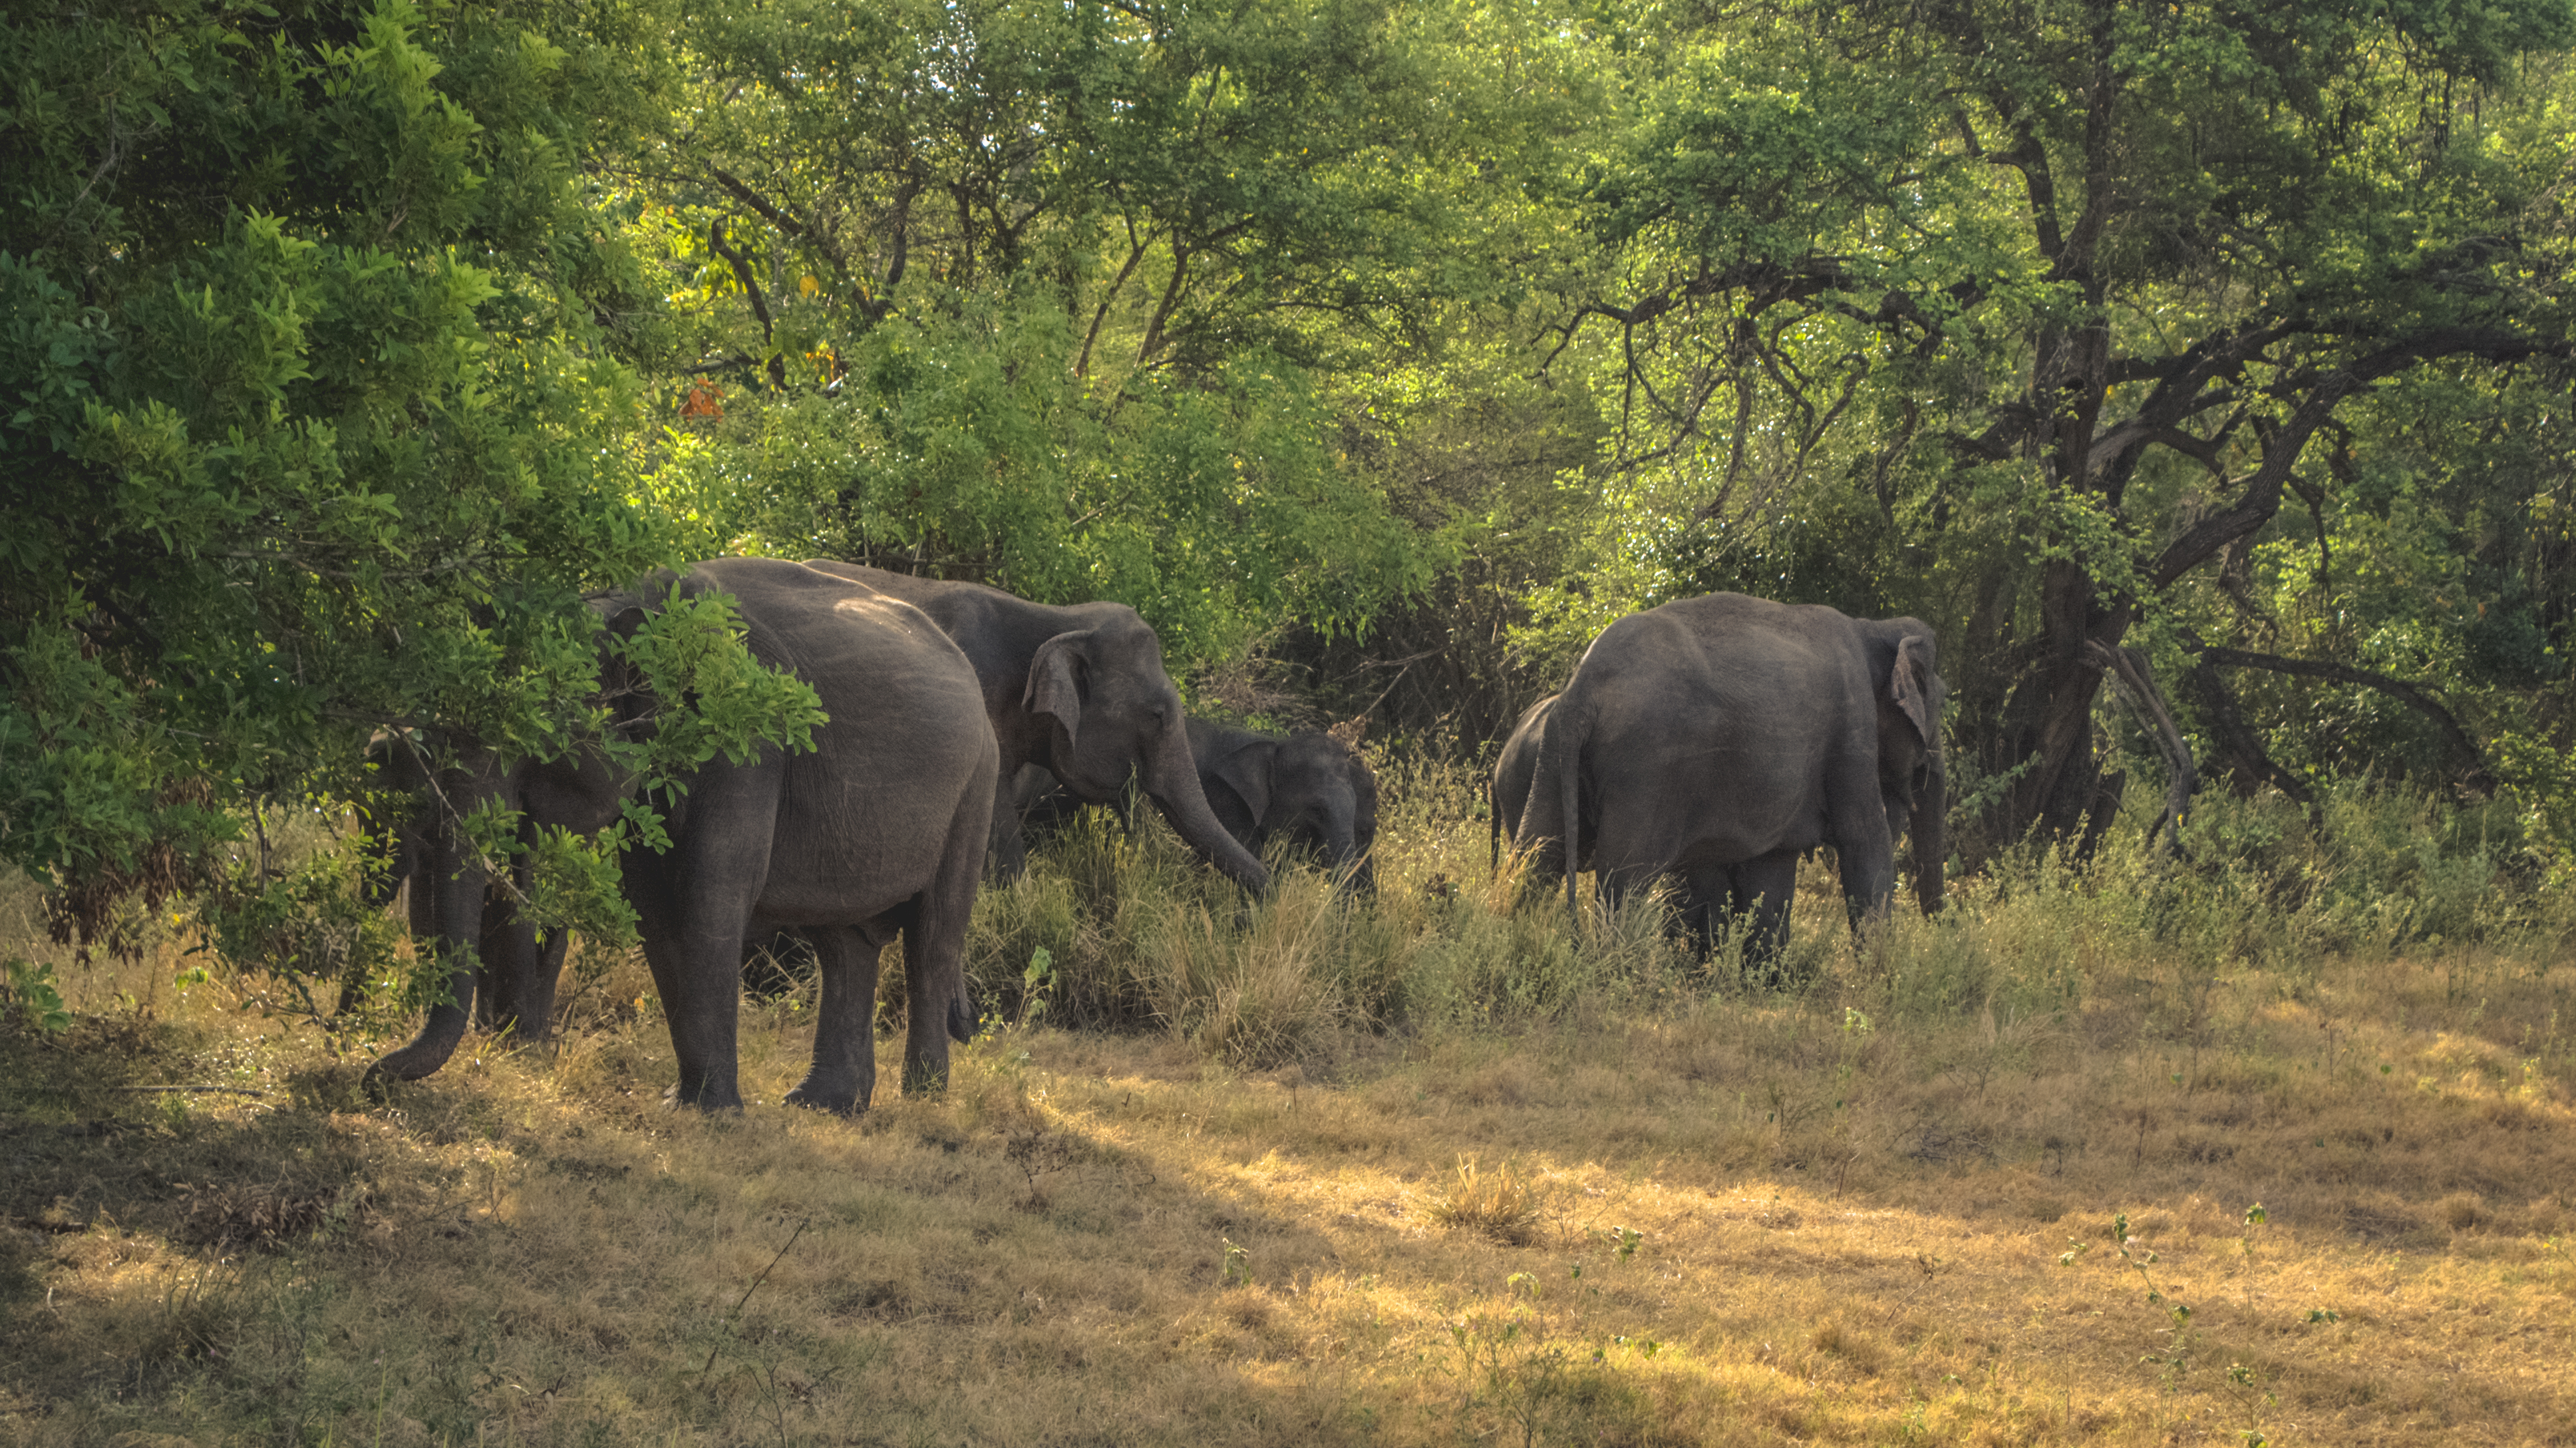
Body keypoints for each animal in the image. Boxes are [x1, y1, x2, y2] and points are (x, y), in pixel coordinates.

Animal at [368, 551, 989, 1103]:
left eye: (534, 738)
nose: (374, 1074)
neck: (623, 604)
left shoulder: (745, 739)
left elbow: (712, 893)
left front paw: (714, 1111)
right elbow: (655, 906)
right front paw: (684, 1102)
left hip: (976, 790)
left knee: (932, 939)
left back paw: (922, 1102)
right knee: (844, 942)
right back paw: (822, 1104)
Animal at [1504, 592, 1937, 964]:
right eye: (1938, 699)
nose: (1939, 929)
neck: (1873, 627)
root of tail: (1581, 690)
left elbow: (1771, 868)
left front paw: (1763, 980)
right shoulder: (1852, 725)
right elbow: (1864, 841)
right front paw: (1880, 981)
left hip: (1554, 752)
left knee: (1536, 854)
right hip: (1646, 770)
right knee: (1625, 878)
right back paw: (1617, 972)